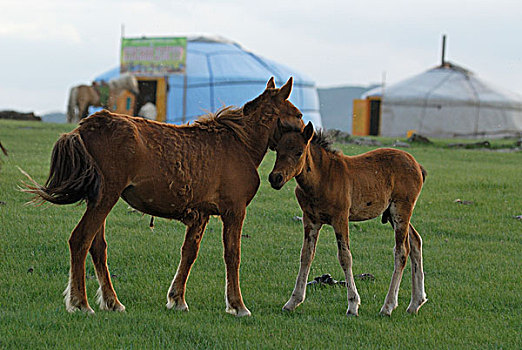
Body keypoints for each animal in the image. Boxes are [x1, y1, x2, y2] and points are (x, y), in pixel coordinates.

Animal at [22, 78, 302, 316]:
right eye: (298, 115)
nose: (307, 133)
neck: (239, 144)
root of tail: (86, 126)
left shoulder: (200, 215)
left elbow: (189, 253)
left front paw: (177, 298)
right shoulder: (234, 211)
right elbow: (232, 255)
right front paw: (237, 305)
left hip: (99, 200)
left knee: (97, 246)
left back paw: (112, 302)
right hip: (105, 198)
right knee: (80, 240)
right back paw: (80, 303)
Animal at [268, 121, 426, 318]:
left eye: (299, 152)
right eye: (277, 150)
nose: (275, 178)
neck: (322, 178)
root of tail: (417, 165)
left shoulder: (340, 218)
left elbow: (345, 257)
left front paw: (353, 305)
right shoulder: (310, 220)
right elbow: (306, 255)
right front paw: (293, 301)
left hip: (401, 210)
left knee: (401, 251)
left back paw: (388, 306)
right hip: (392, 214)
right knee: (415, 241)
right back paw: (415, 303)